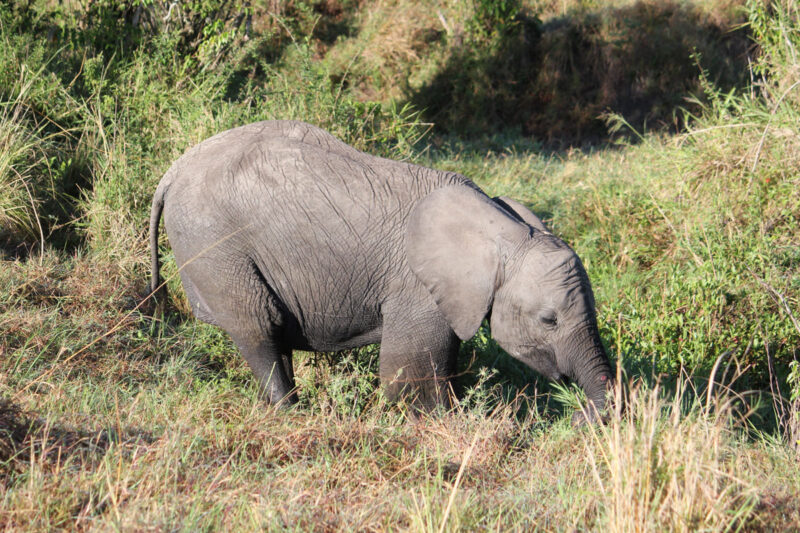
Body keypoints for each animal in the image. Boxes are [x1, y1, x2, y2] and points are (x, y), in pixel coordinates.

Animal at [150, 120, 612, 420]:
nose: (577, 415)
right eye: (548, 320)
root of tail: (171, 173)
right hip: (214, 246)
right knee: (260, 329)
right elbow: (407, 376)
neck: (503, 231)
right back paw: (289, 417)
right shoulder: (417, 287)